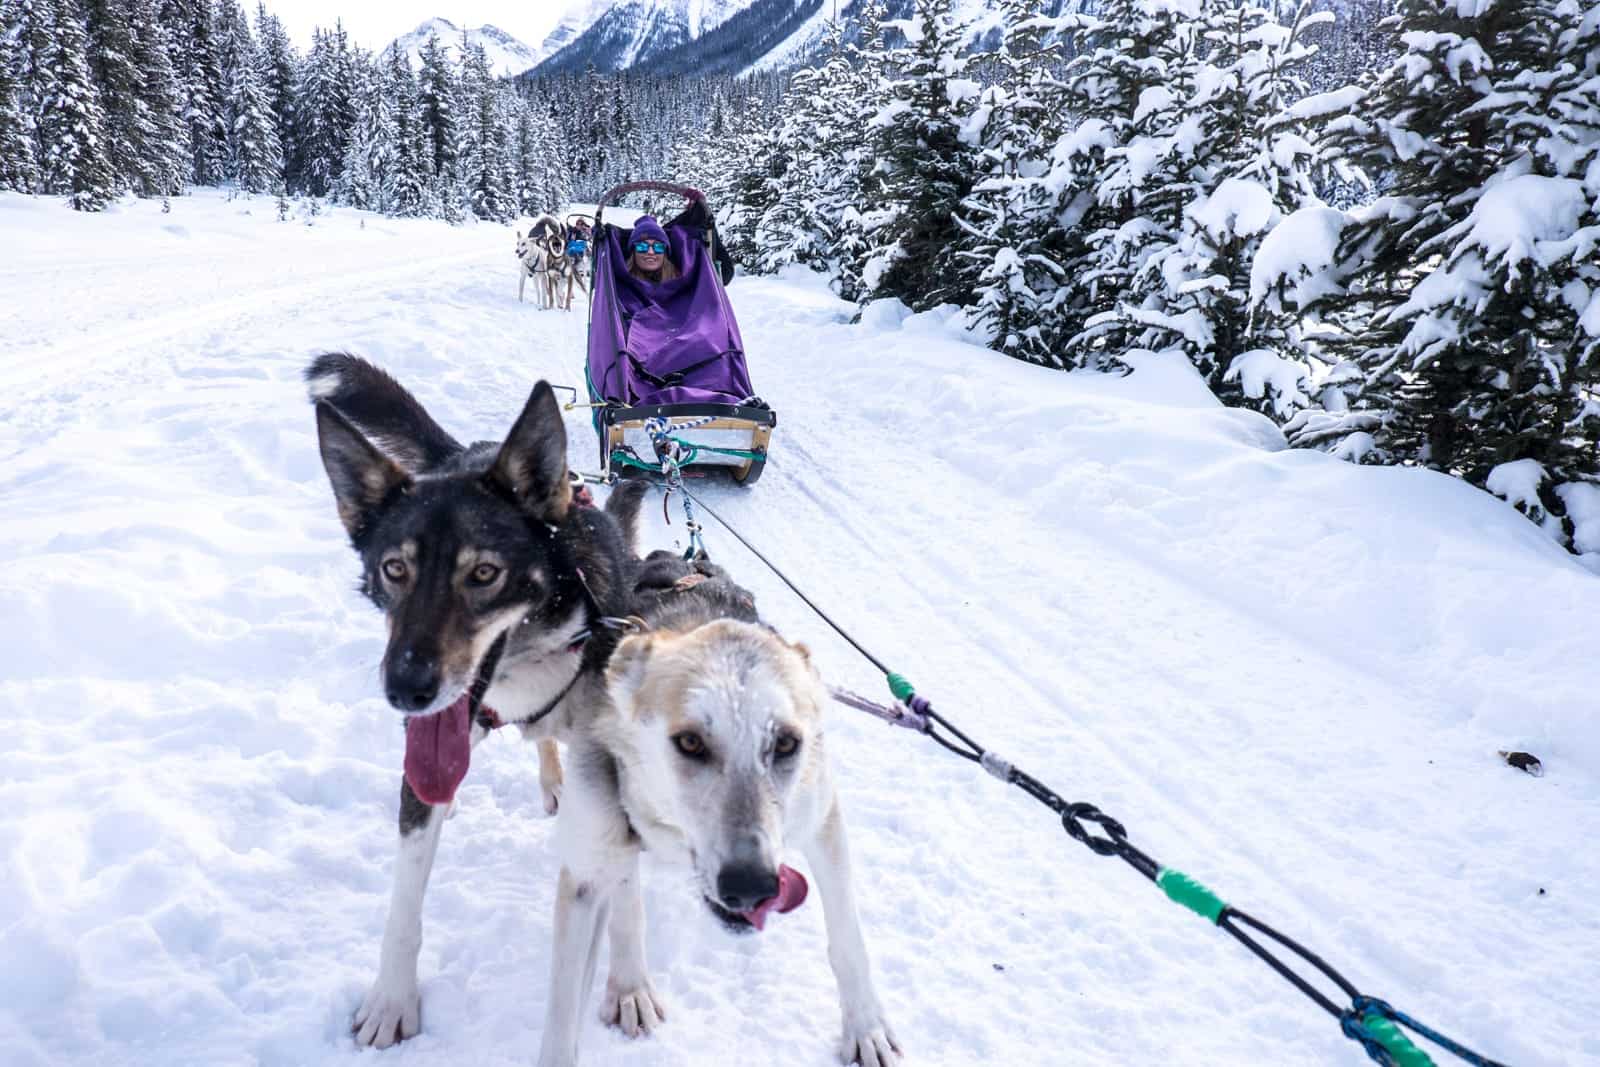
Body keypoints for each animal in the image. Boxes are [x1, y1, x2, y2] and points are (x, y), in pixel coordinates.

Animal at [305, 355, 643, 1049]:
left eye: (483, 574)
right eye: (394, 569)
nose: (406, 691)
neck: (535, 656)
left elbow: (623, 883)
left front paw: (628, 982)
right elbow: (405, 897)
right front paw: (391, 1000)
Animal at [540, 550, 902, 1067]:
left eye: (786, 743)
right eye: (690, 742)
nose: (751, 887)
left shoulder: (822, 819)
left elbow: (848, 937)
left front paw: (866, 1026)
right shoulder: (587, 871)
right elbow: (561, 1018)